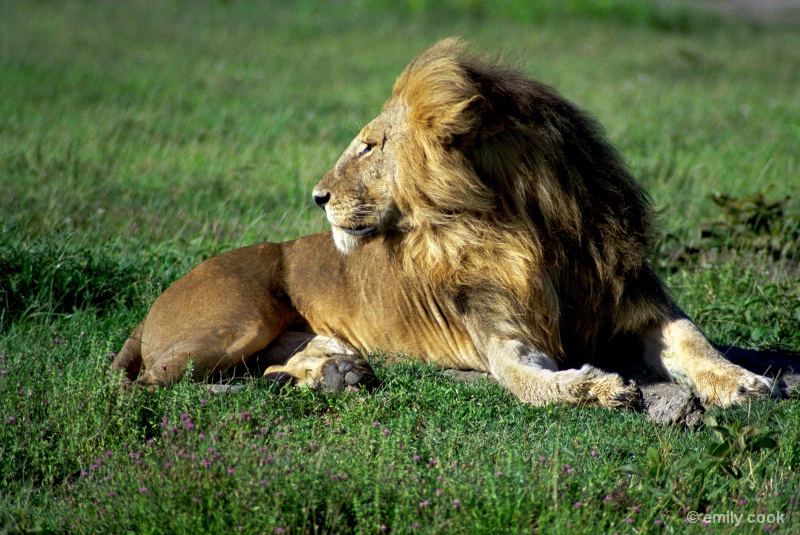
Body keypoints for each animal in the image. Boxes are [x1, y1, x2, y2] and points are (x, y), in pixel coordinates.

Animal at [109, 38, 780, 410]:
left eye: (370, 145)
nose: (316, 196)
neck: (525, 230)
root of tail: (151, 309)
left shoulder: (636, 300)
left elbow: (695, 342)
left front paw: (743, 382)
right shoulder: (501, 337)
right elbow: (534, 382)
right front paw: (600, 387)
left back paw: (336, 373)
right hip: (236, 317)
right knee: (152, 386)